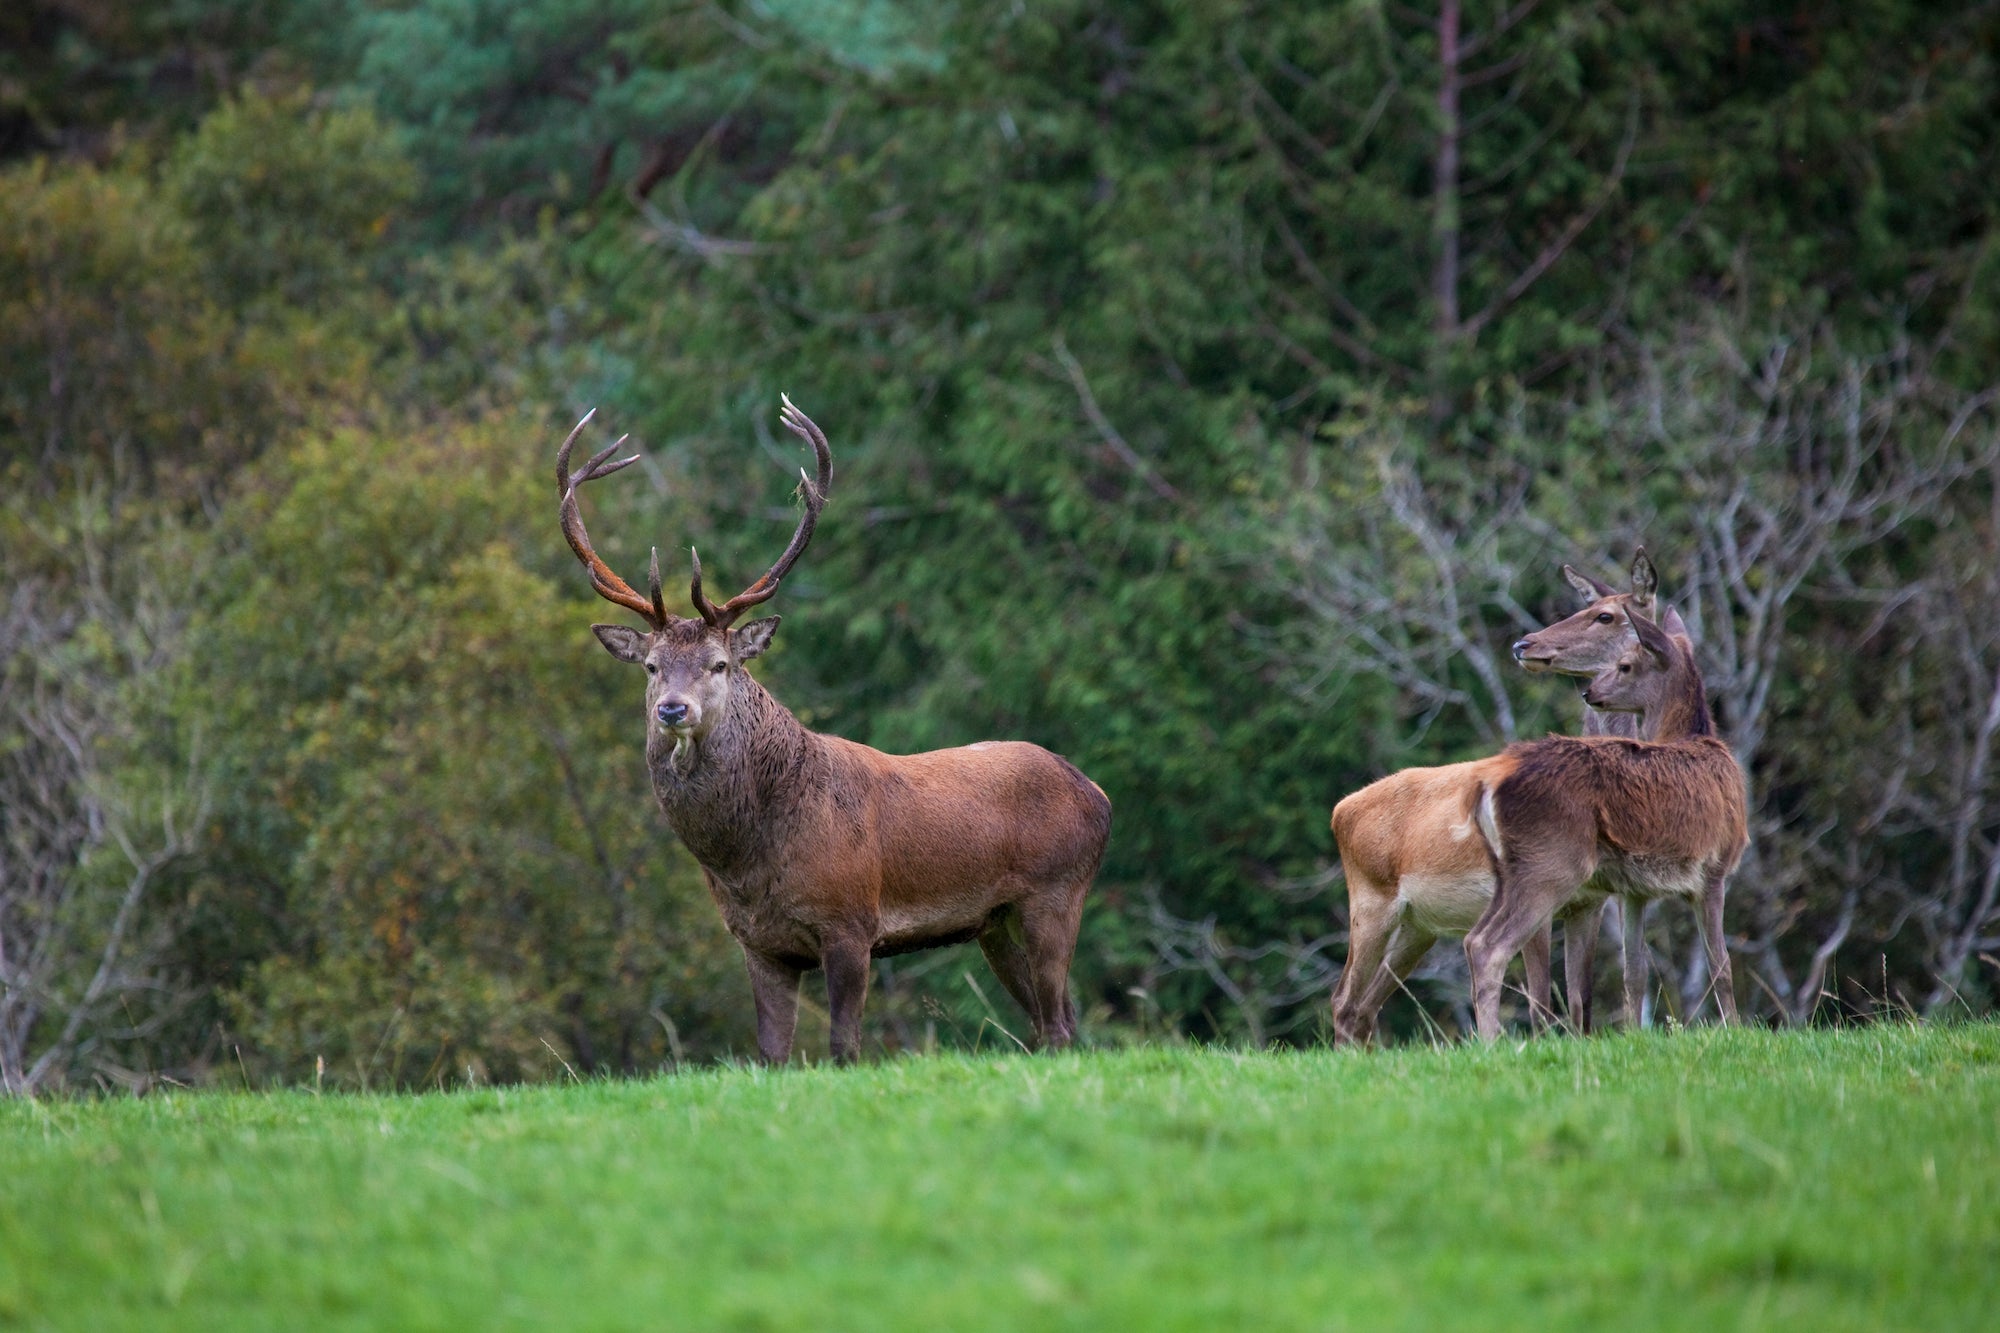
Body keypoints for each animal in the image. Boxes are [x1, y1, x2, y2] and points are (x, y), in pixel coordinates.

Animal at [556, 398, 1111, 1065]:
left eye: (720, 664)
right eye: (651, 666)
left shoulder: (851, 921)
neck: (747, 862)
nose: (672, 710)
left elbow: (845, 1047)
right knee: (1058, 1024)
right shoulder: (758, 942)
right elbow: (770, 1052)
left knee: (1058, 1025)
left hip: (1056, 893)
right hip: (994, 922)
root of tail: (1098, 794)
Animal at [1328, 552, 1682, 1044]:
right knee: (1343, 1001)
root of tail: (1341, 809)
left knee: (1363, 1008)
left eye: (1606, 615)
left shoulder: (1589, 901)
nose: (1523, 643)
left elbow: (1580, 1002)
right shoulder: (1542, 895)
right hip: (1370, 903)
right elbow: (1540, 1003)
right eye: (1590, 606)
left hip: (1419, 925)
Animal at [1463, 608, 1746, 1041]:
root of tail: (1487, 783)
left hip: (1506, 872)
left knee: (1473, 938)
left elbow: (1635, 972)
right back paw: (1492, 1043)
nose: (1589, 693)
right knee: (1488, 946)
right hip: (1552, 863)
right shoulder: (1714, 868)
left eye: (1624, 665)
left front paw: (1634, 1035)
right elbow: (1722, 966)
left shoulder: (1634, 891)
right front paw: (1735, 1030)